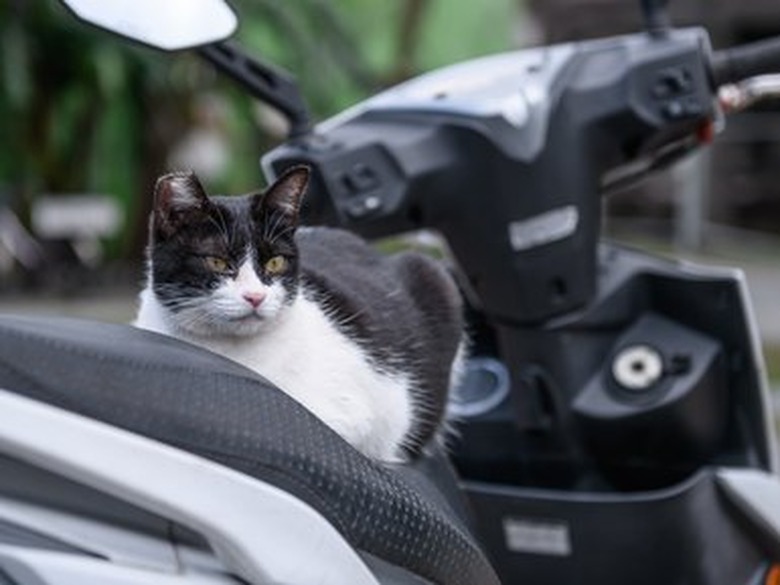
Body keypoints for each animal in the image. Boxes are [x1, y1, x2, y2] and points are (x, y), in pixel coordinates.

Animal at [133, 165, 464, 460]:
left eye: (275, 262)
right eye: (216, 262)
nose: (256, 296)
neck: (227, 351)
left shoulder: (351, 416)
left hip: (433, 276)